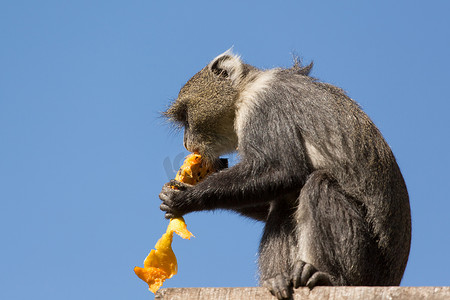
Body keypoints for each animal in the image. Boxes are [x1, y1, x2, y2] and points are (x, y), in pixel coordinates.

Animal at [158, 50, 412, 298]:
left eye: (186, 117)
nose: (186, 141)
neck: (246, 88)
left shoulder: (264, 106)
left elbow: (286, 171)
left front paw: (186, 197)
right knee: (284, 202)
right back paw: (278, 279)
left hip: (364, 263)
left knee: (319, 185)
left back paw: (326, 277)